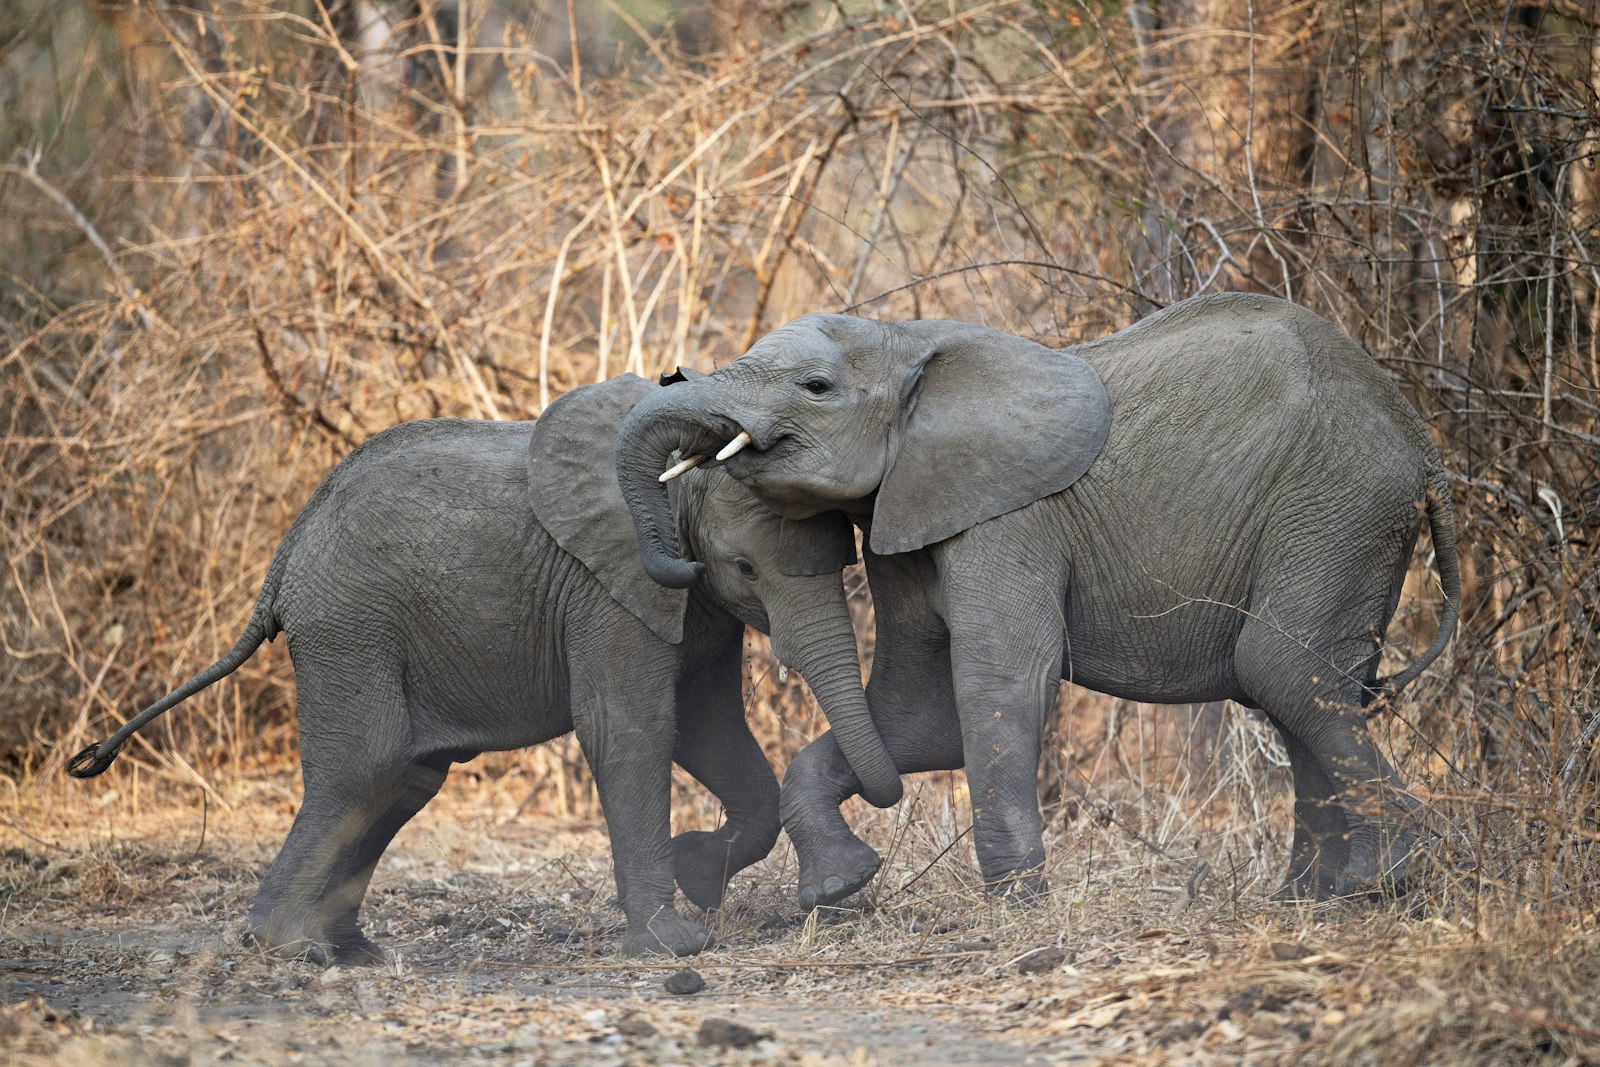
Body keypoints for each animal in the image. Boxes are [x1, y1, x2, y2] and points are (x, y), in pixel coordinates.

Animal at [72, 371, 902, 966]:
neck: (670, 481)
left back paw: (351, 950)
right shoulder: (609, 586)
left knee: (405, 777)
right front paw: (675, 942)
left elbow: (710, 728)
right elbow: (633, 730)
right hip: (350, 625)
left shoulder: (686, 606)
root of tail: (284, 558)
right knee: (365, 767)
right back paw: (289, 947)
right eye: (744, 566)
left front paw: (702, 871)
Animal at [611, 289, 1465, 908]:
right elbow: (915, 712)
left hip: (1337, 507)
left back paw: (1378, 880)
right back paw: (1312, 898)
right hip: (1344, 522)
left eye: (815, 388)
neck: (909, 341)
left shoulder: (1008, 517)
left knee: (1281, 668)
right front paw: (838, 887)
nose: (673, 380)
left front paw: (1015, 902)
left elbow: (998, 680)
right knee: (1300, 687)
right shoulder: (910, 510)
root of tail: (1423, 446)